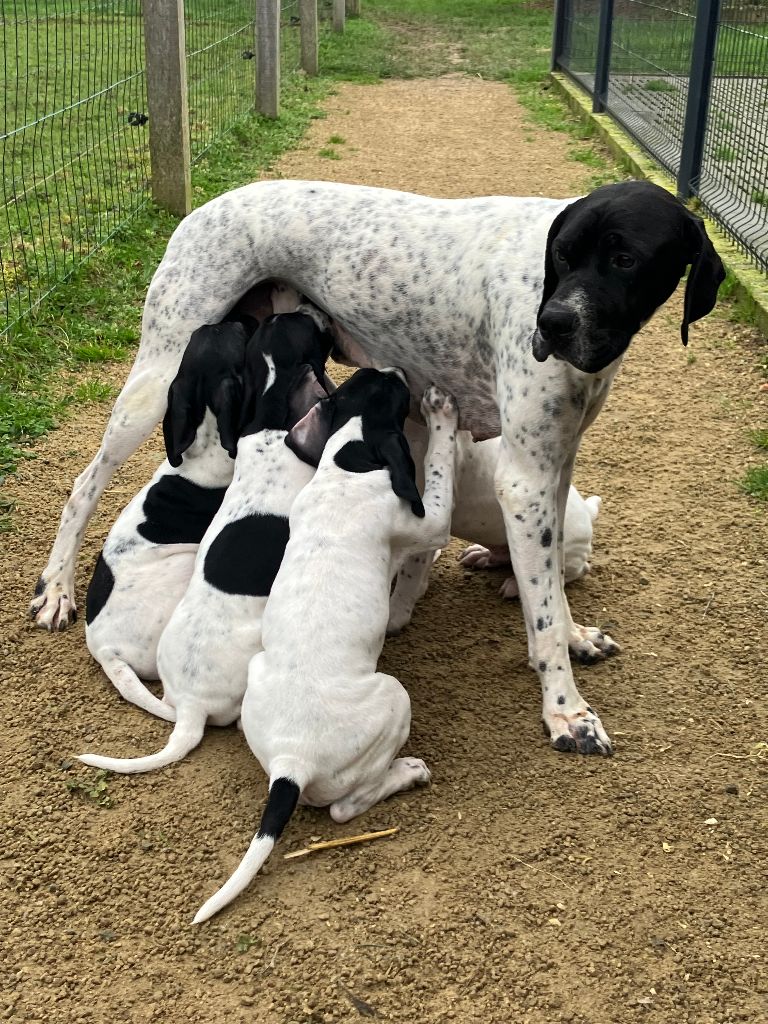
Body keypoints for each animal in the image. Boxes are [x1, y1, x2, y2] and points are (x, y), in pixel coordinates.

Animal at [192, 372, 460, 925]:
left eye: (361, 382)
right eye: (392, 396)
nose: (396, 371)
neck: (346, 462)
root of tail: (291, 766)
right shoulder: (429, 519)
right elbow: (441, 471)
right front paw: (442, 412)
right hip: (394, 698)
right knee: (344, 807)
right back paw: (408, 773)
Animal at [387, 432, 606, 638]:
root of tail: (588, 511)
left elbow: (410, 573)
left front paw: (394, 618)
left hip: (565, 551)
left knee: (577, 570)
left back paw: (514, 586)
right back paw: (482, 555)